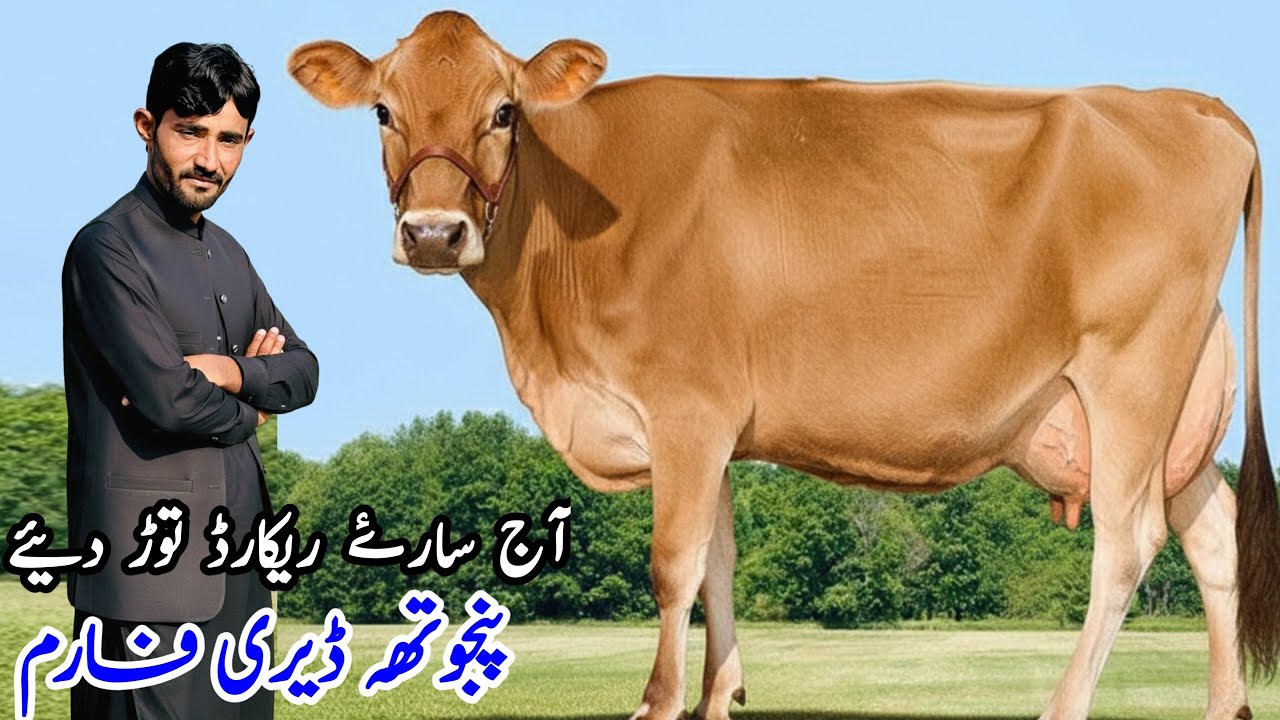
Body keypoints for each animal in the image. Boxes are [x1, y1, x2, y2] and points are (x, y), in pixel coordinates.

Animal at [288, 11, 1278, 720]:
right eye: (384, 110)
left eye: (504, 111)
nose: (433, 233)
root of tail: (1191, 104)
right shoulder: (718, 427)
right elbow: (719, 559)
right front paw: (722, 695)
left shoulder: (686, 408)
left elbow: (673, 562)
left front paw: (658, 702)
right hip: (1180, 403)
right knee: (1212, 536)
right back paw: (1224, 706)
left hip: (1131, 374)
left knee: (1127, 541)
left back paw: (1063, 706)